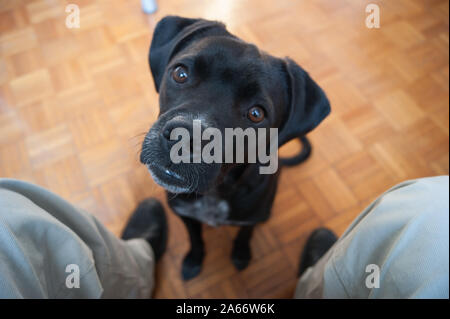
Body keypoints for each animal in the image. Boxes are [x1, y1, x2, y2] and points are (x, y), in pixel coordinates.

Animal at [141, 15, 330, 280]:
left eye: (256, 114)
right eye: (180, 73)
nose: (184, 138)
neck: (216, 191)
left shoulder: (251, 219)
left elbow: (244, 235)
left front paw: (241, 255)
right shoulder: (184, 214)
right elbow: (195, 238)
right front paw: (194, 259)